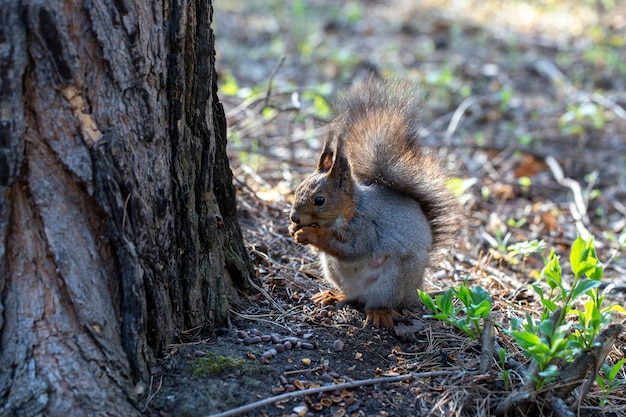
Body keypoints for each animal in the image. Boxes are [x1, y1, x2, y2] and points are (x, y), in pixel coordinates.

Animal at [288, 76, 458, 326]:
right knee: (352, 295)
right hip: (333, 270)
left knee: (381, 301)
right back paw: (334, 295)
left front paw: (310, 234)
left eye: (319, 200)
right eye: (298, 188)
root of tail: (413, 291)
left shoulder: (366, 227)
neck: (350, 209)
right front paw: (294, 230)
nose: (294, 217)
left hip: (394, 279)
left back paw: (379, 312)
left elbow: (351, 249)